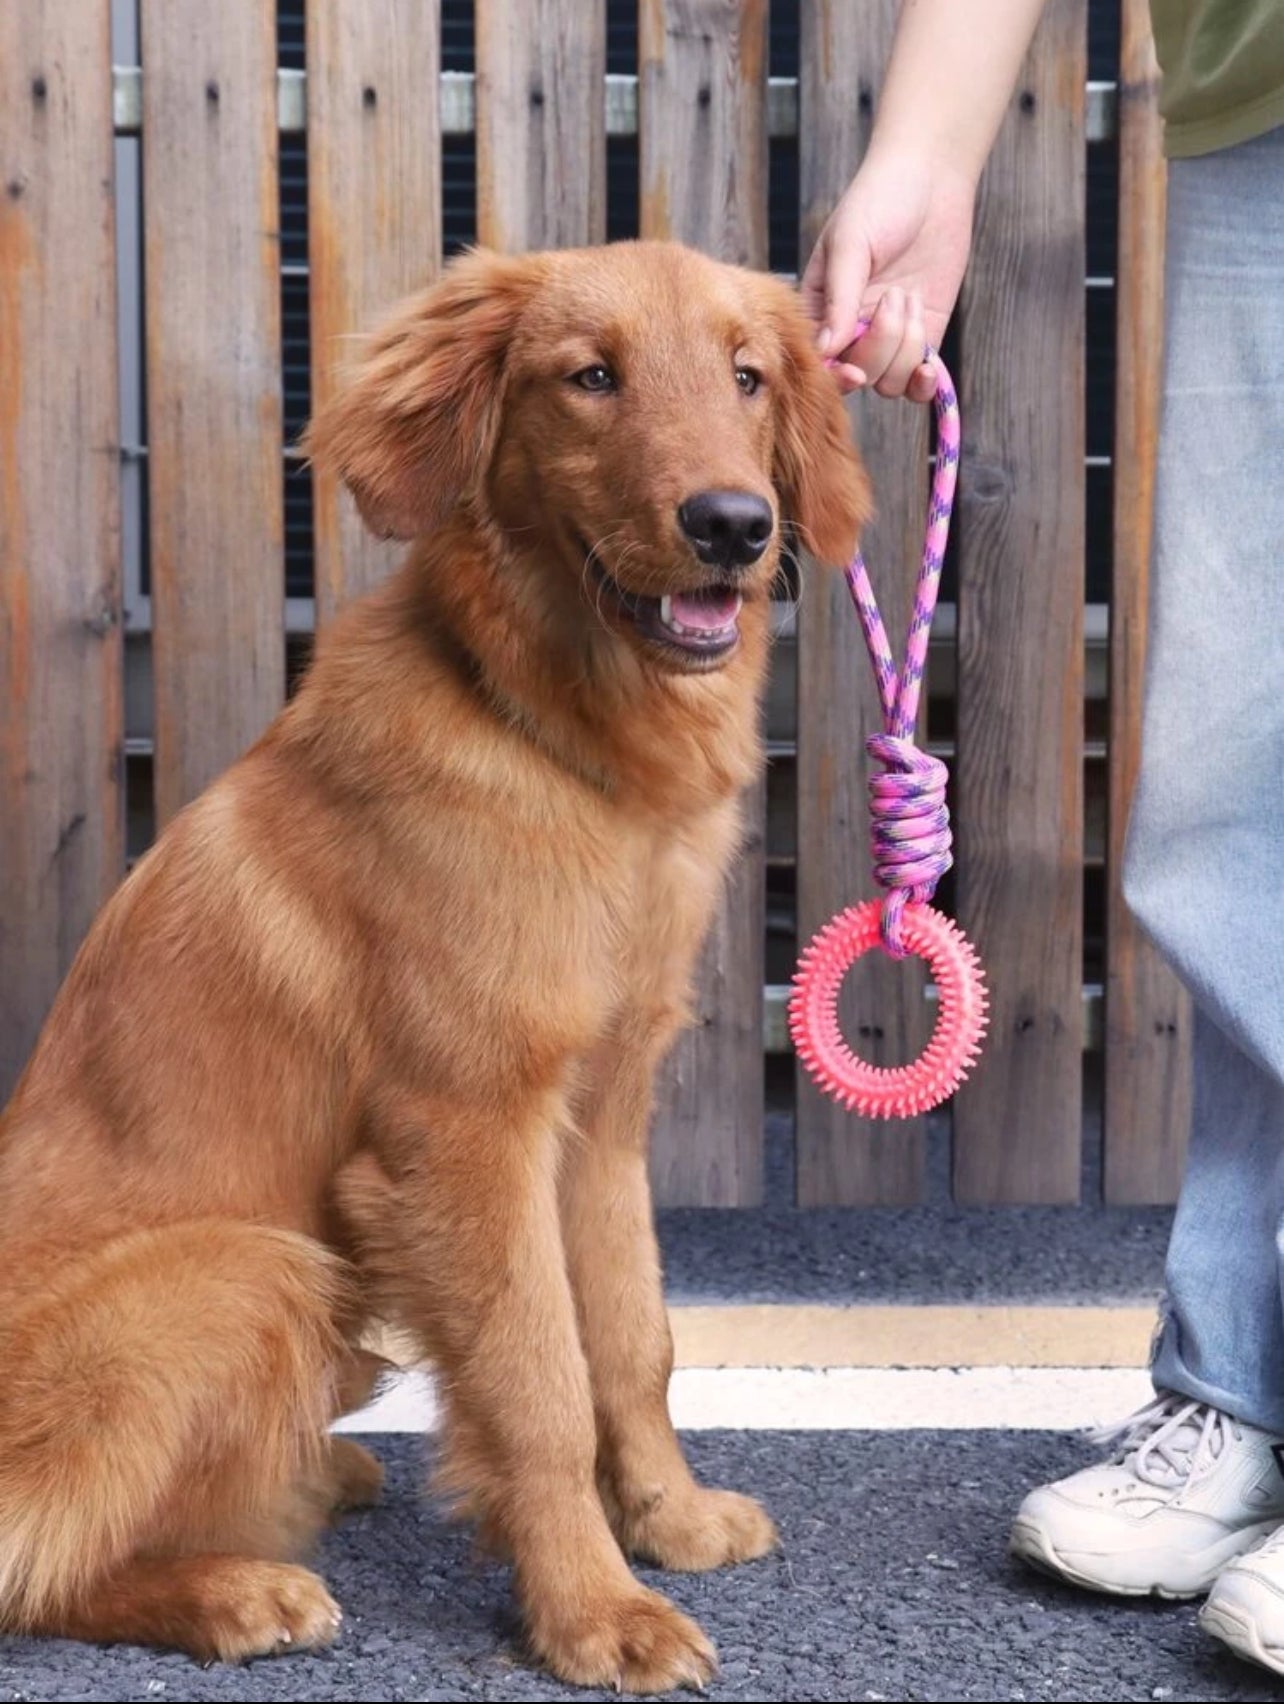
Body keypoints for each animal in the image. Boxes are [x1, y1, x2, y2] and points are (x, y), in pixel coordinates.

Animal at [0, 240, 871, 1690]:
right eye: (590, 378)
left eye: (748, 376)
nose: (734, 526)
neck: (561, 746)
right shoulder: (463, 1134)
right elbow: (537, 1383)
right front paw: (591, 1607)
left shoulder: (601, 1122)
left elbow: (630, 1338)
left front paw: (668, 1518)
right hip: (252, 1271)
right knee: (35, 1557)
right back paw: (235, 1590)